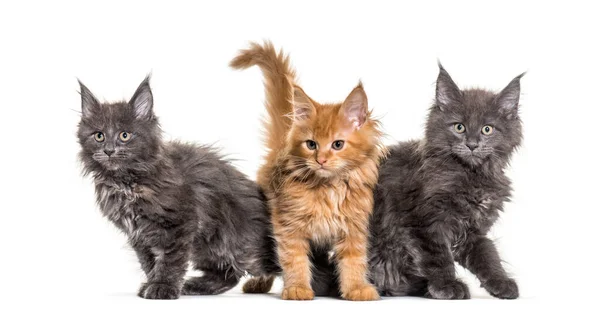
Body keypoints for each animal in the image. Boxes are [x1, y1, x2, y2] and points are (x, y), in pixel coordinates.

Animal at [75, 77, 278, 300]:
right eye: (99, 136)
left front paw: (163, 286)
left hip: (245, 248)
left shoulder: (180, 224)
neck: (127, 183)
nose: (109, 151)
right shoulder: (139, 236)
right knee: (229, 274)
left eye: (125, 135)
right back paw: (196, 286)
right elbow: (150, 262)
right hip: (208, 246)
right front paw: (153, 283)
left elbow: (170, 259)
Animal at [230, 42, 384, 302]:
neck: (328, 189)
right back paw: (259, 283)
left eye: (337, 144)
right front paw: (297, 288)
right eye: (311, 144)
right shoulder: (288, 225)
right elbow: (294, 260)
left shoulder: (352, 227)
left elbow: (354, 261)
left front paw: (356, 288)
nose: (320, 160)